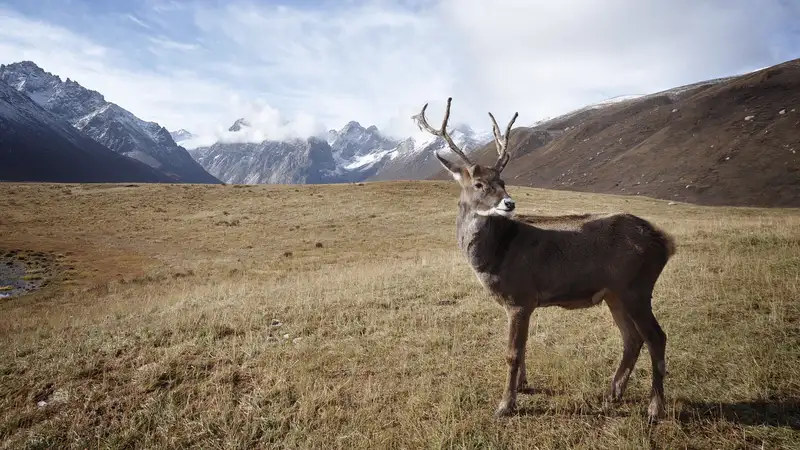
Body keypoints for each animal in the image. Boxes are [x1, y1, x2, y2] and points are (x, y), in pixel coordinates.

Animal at [416, 97, 680, 422]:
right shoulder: (524, 303)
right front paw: (523, 385)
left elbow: (512, 353)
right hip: (615, 293)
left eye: (502, 180)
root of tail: (664, 241)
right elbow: (524, 347)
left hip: (638, 287)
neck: (495, 255)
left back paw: (655, 407)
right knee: (632, 338)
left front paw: (505, 405)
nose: (509, 203)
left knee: (657, 337)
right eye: (478, 184)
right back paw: (613, 392)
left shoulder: (519, 297)